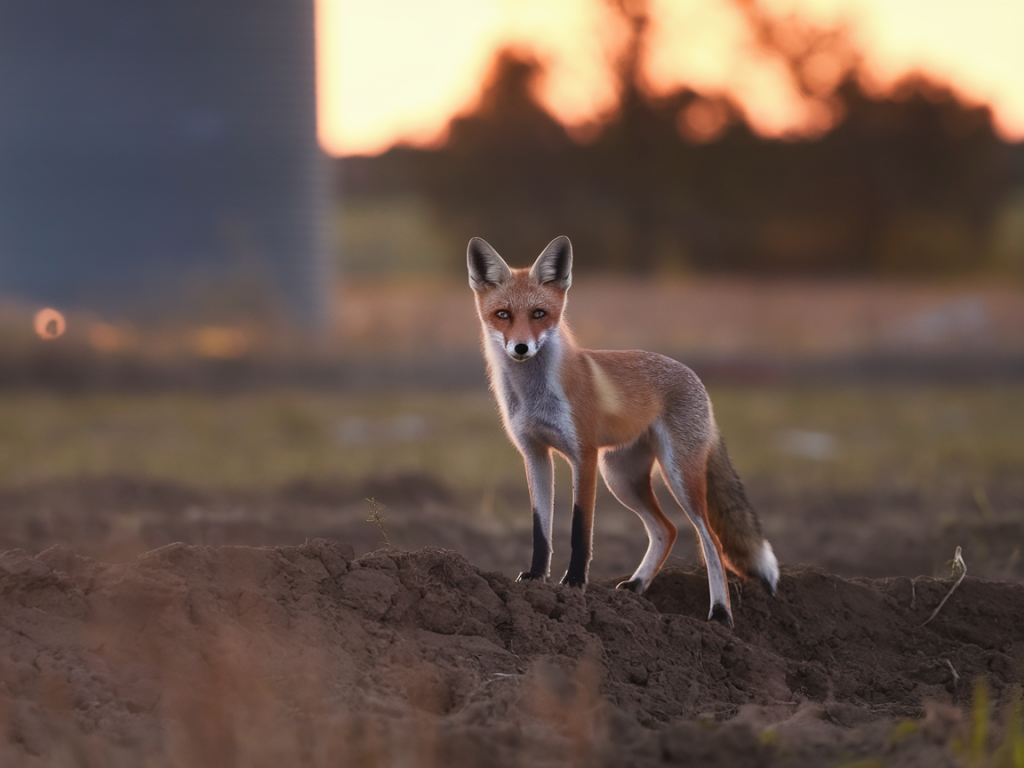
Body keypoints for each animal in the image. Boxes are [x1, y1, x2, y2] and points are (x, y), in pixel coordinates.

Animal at [467, 235, 778, 626]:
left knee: (711, 541)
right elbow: (541, 528)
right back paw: (637, 586)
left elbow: (580, 529)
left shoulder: (583, 455)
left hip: (676, 476)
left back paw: (720, 614)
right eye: (503, 314)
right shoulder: (535, 454)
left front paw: (574, 582)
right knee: (666, 529)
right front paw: (537, 576)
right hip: (621, 477)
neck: (533, 395)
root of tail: (695, 378)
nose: (521, 347)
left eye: (539, 314)